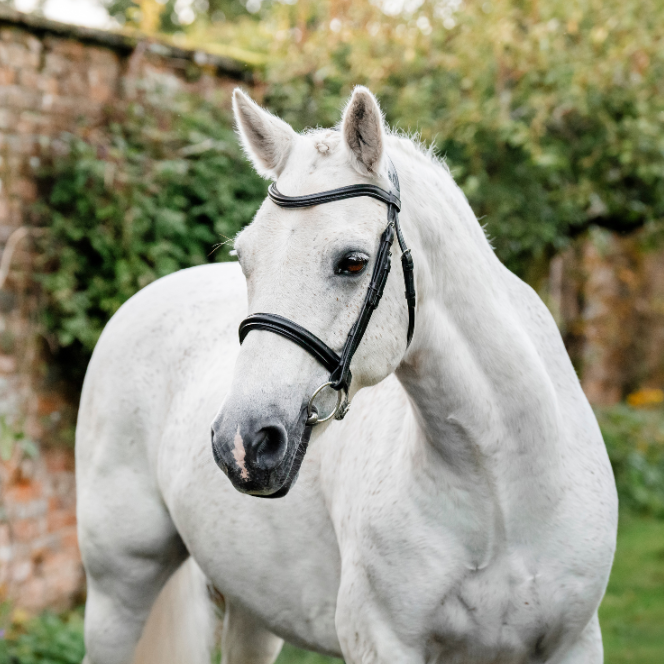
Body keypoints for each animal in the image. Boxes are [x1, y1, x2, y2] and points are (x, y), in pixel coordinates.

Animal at [76, 86, 618, 664]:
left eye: (353, 262)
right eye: (245, 259)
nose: (241, 443)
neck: (501, 489)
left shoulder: (575, 643)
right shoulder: (381, 641)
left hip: (253, 608)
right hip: (119, 591)